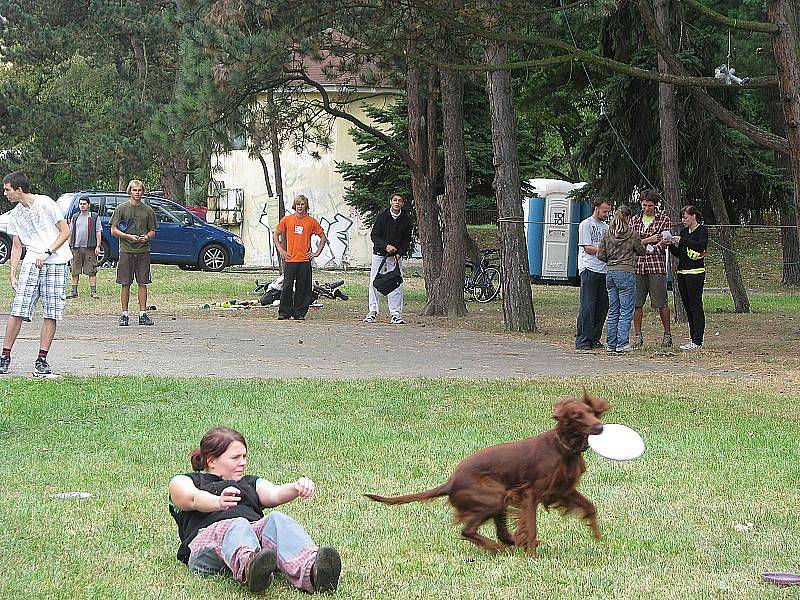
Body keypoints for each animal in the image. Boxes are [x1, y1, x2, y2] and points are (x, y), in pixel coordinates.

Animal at [362, 392, 608, 556]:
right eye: (577, 416)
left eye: (591, 412)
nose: (600, 427)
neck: (563, 448)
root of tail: (451, 482)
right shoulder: (530, 493)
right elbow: (530, 525)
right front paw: (532, 555)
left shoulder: (562, 490)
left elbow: (590, 507)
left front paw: (598, 536)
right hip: (494, 497)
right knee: (468, 531)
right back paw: (497, 547)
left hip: (499, 498)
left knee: (499, 533)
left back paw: (508, 544)